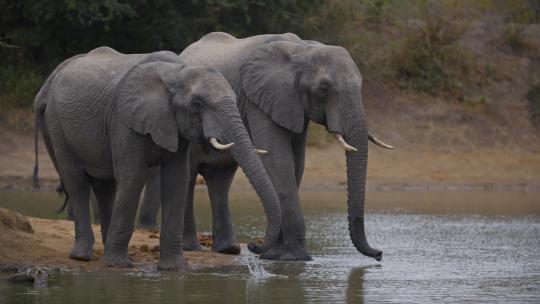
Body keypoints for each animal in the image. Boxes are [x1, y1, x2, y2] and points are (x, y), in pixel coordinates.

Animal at [32, 46, 282, 270]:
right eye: (197, 104)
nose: (254, 245)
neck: (177, 72)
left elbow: (176, 181)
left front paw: (174, 269)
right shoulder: (125, 121)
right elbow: (133, 178)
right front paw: (118, 265)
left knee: (105, 187)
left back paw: (105, 246)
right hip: (57, 124)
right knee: (76, 181)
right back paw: (83, 256)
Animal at [137, 32, 394, 262]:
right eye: (324, 88)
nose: (379, 254)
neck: (302, 49)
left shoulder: (291, 103)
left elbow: (296, 163)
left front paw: (275, 255)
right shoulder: (259, 99)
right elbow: (278, 159)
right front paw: (295, 258)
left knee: (221, 178)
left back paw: (228, 249)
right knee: (189, 176)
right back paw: (192, 247)